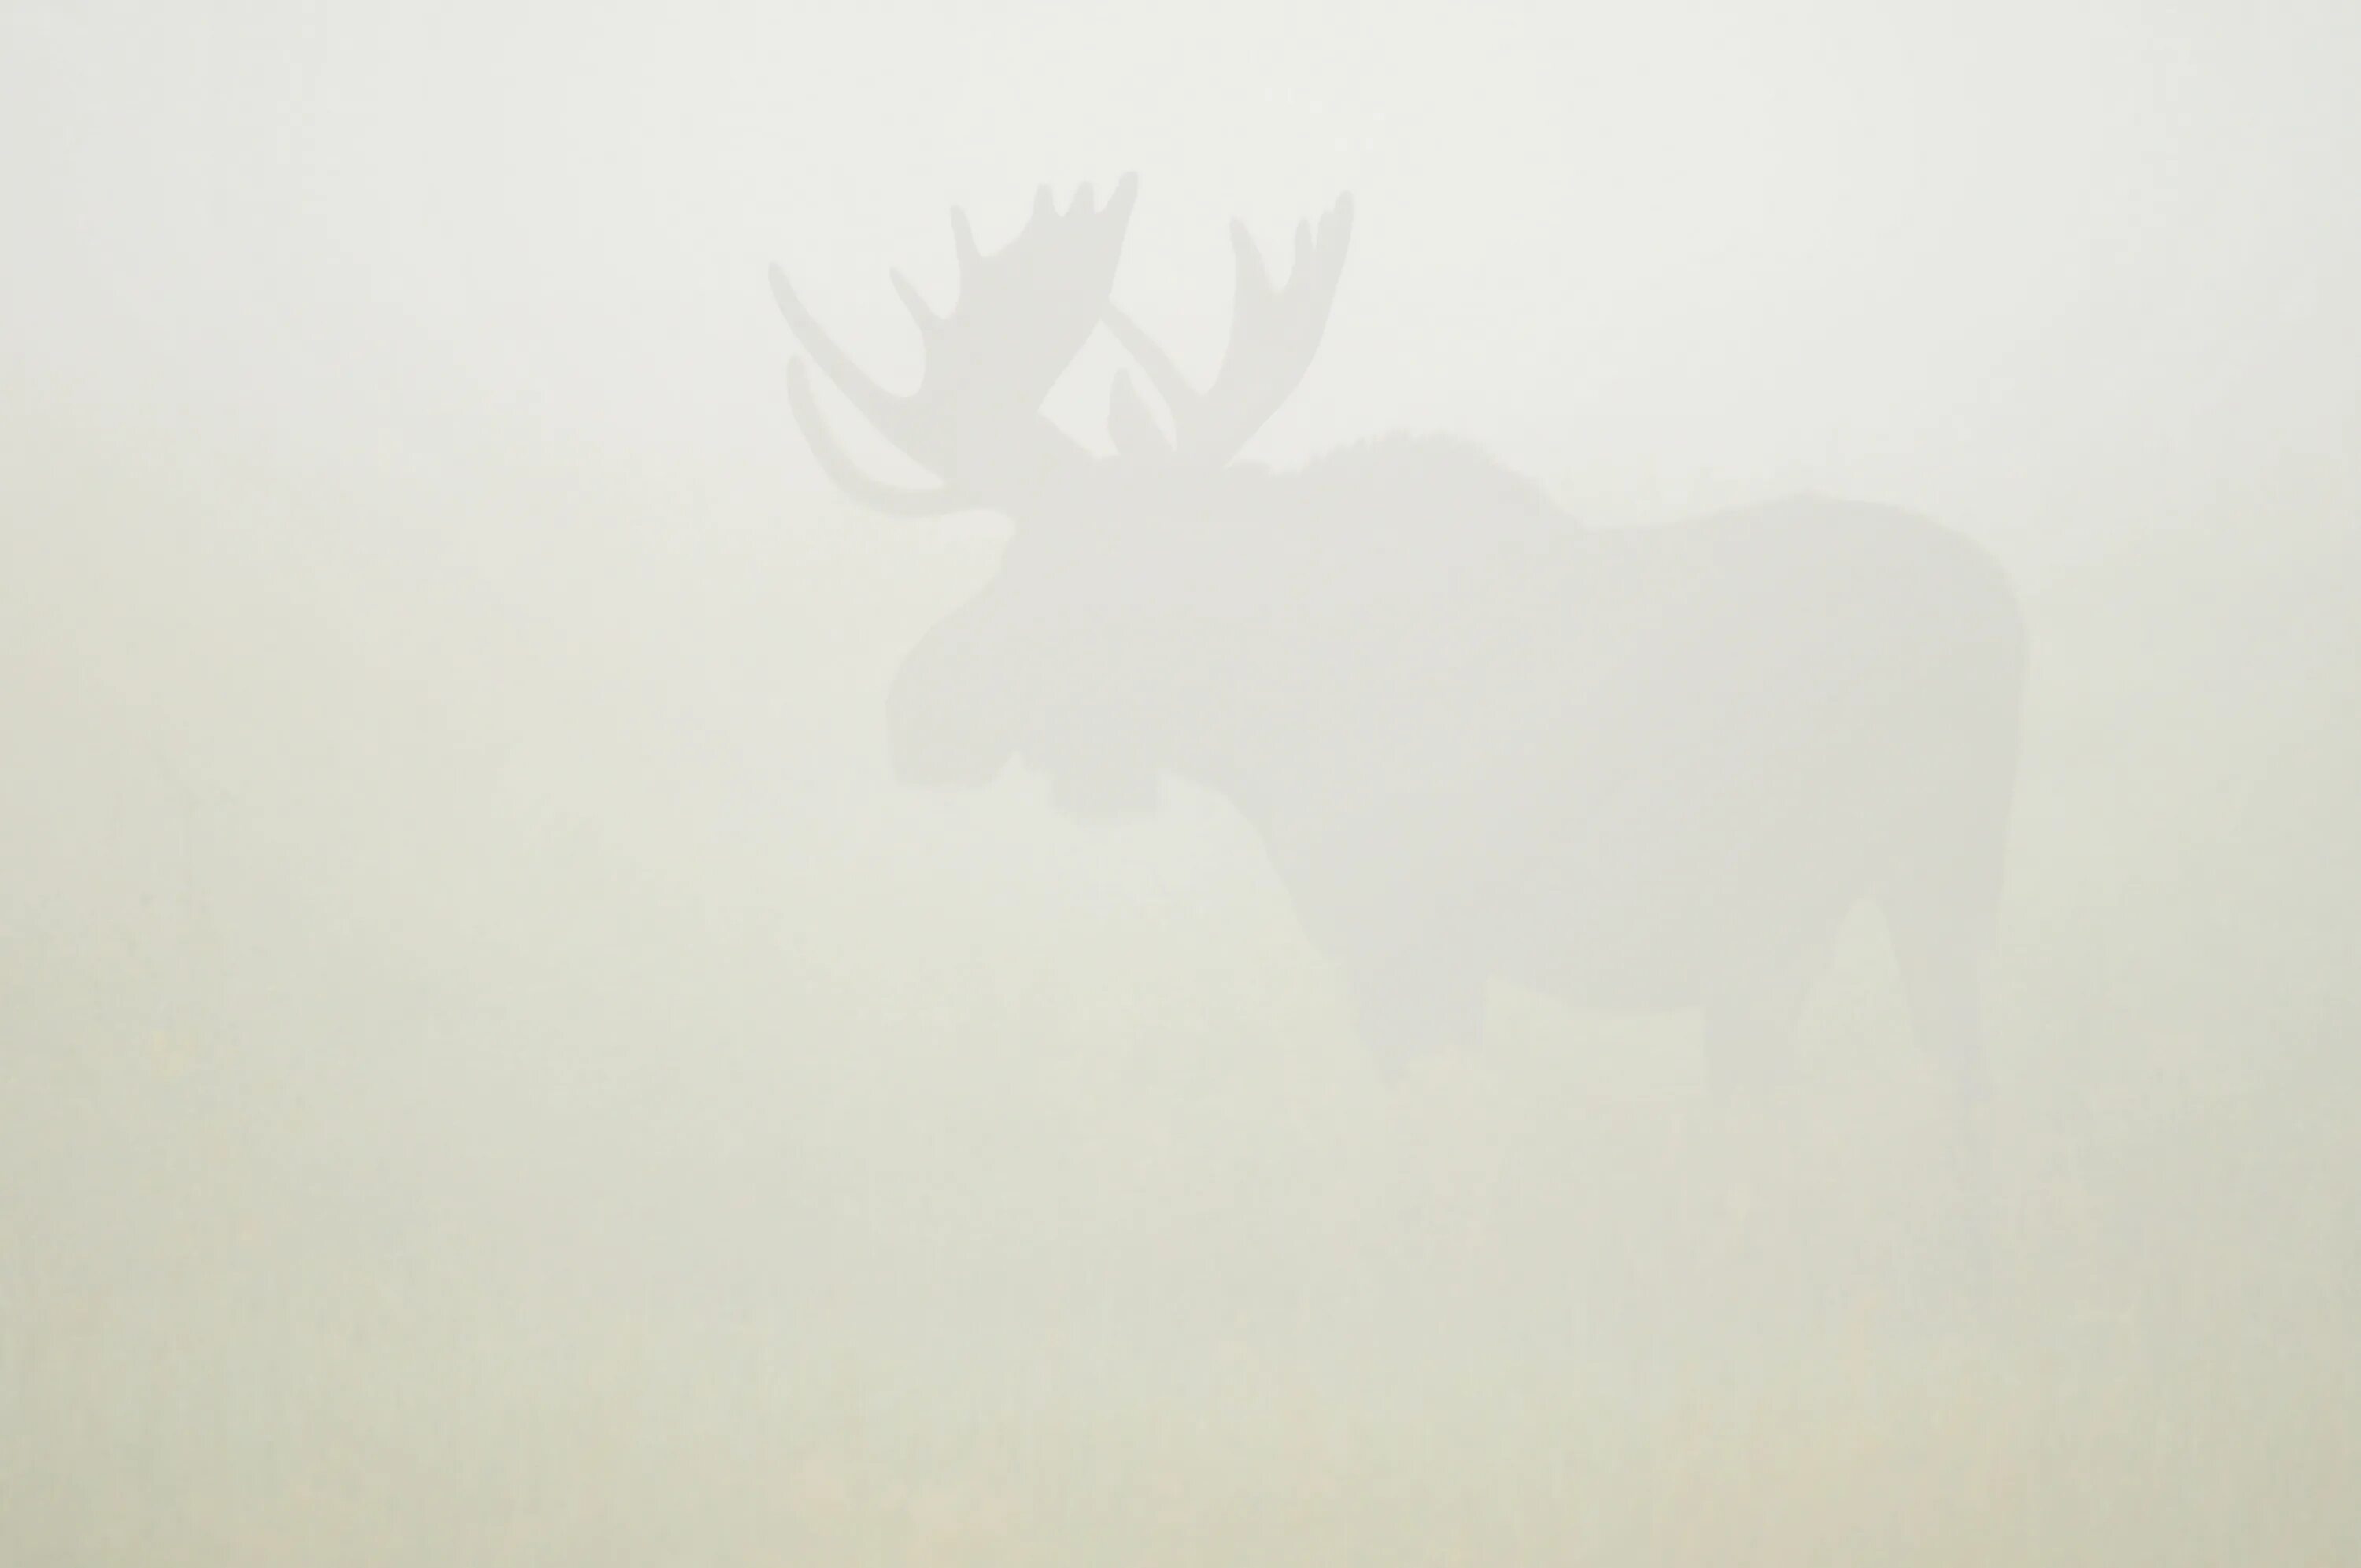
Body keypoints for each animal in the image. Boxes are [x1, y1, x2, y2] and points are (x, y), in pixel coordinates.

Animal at [765, 175, 2021, 1152]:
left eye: (1046, 560)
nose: (914, 704)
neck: (1248, 720)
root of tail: (2003, 618)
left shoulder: (1401, 942)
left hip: (1863, 890)